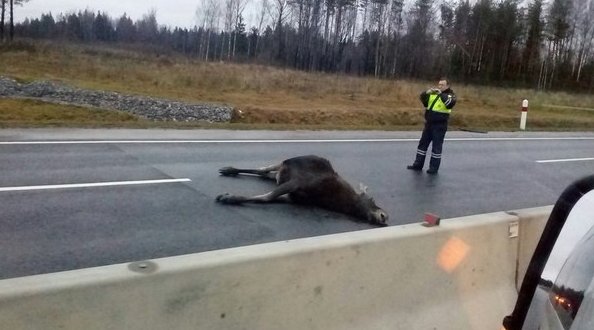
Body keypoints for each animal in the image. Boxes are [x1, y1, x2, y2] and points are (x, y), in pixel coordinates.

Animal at [215, 155, 386, 227]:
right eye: (372, 199)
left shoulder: (293, 197)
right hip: (284, 163)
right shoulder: (297, 182)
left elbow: (267, 198)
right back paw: (229, 170)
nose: (385, 216)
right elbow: (266, 197)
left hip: (278, 175)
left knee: (264, 173)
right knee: (262, 168)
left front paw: (230, 197)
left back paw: (230, 170)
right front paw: (230, 197)